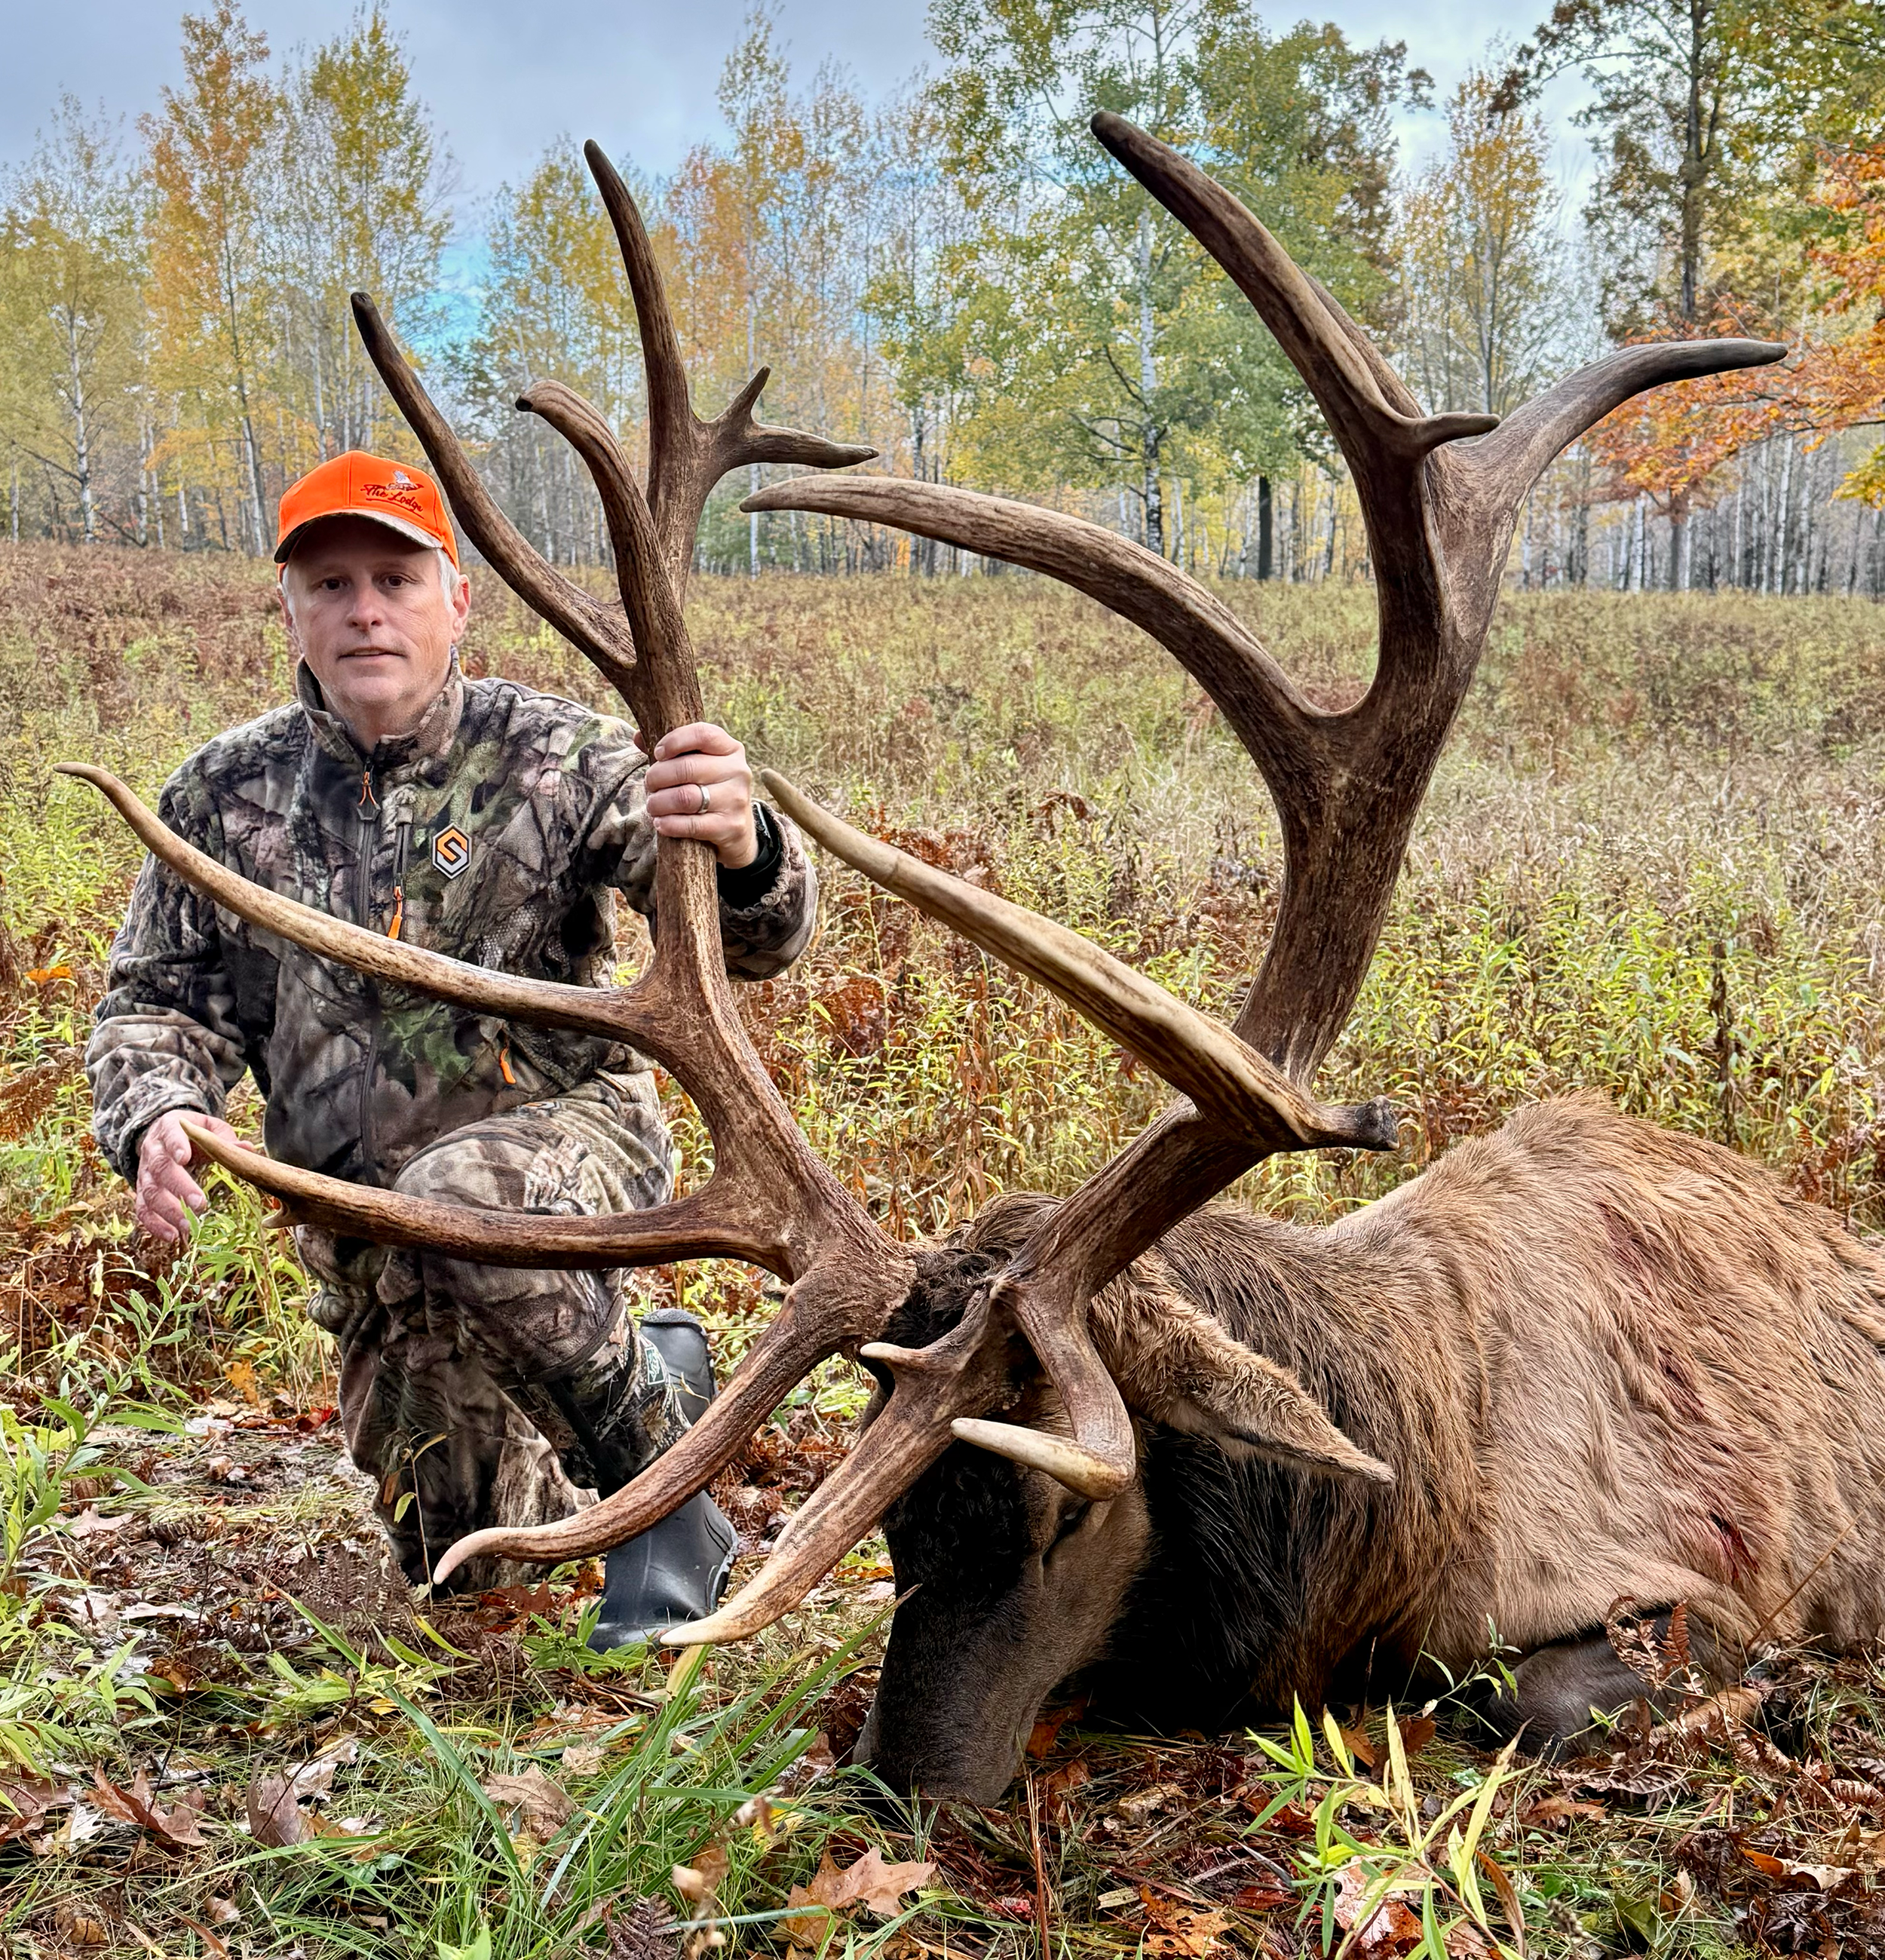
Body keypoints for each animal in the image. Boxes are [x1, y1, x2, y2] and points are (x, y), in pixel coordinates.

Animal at [65, 117, 1877, 1805]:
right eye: (896, 1523)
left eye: (1063, 1511)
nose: (895, 1773)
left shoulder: (1680, 1570)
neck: (1388, 1499)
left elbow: (1543, 1690)